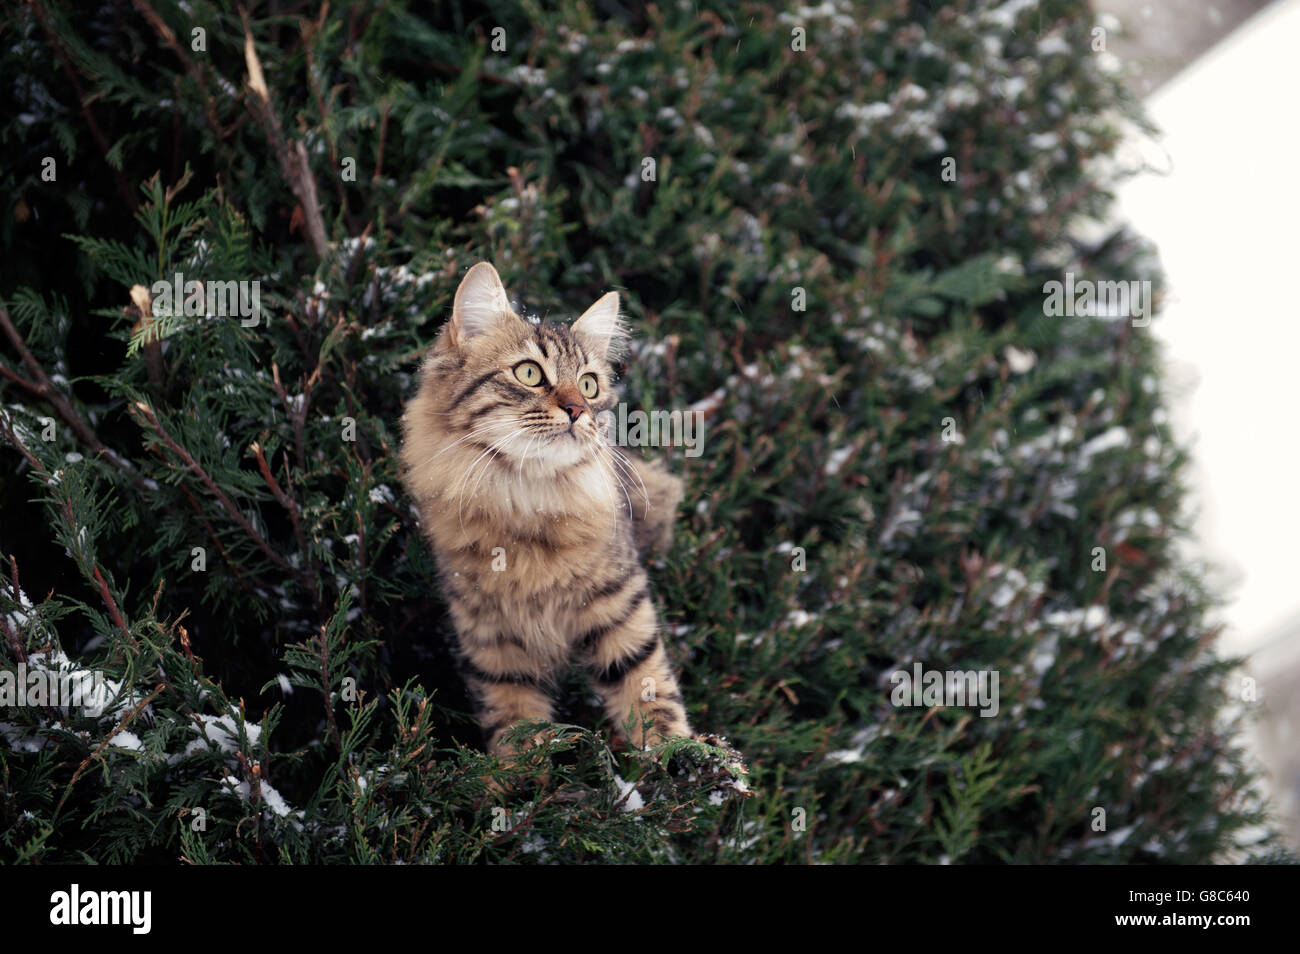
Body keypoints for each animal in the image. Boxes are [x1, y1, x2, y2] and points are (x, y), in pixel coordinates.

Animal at [397, 265, 696, 764]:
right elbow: (515, 725)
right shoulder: (493, 636)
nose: (577, 410)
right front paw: (517, 776)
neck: (527, 498)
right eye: (530, 373)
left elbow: (649, 688)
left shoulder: (621, 604)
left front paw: (680, 758)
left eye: (590, 384)